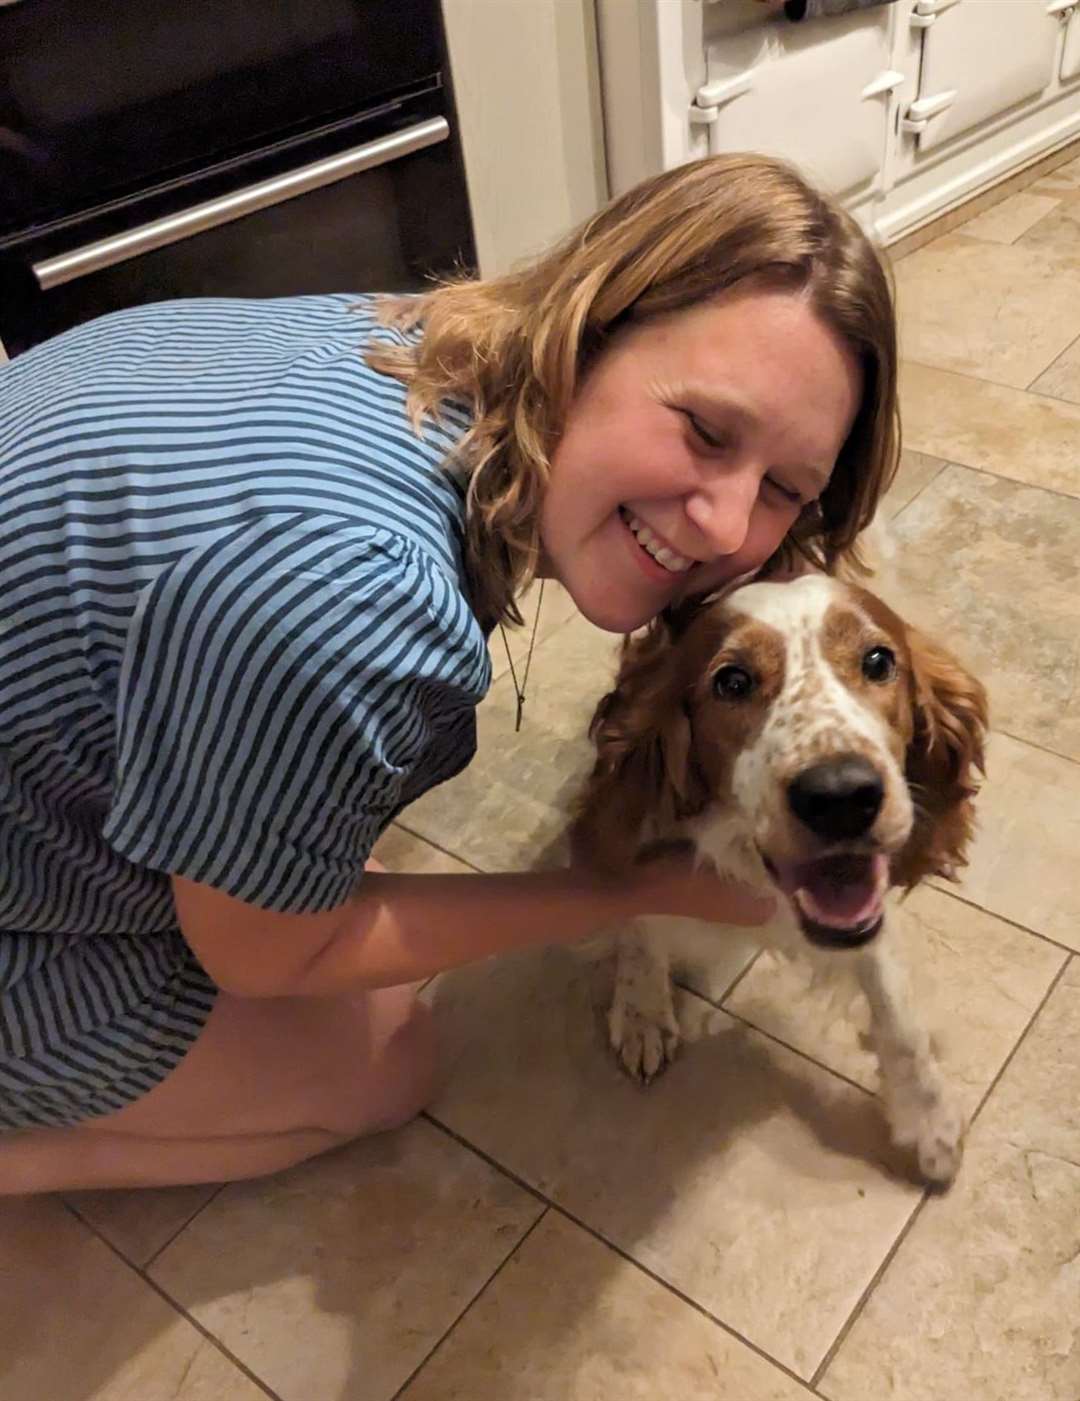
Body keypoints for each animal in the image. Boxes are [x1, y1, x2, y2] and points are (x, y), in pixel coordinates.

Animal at [574, 568, 986, 1182]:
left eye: (878, 661)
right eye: (732, 681)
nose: (841, 797)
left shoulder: (867, 915)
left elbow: (900, 1018)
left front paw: (928, 1117)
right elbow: (642, 929)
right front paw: (643, 1010)